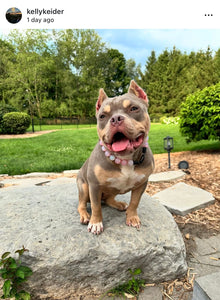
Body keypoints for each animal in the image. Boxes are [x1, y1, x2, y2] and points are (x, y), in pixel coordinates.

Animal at [76, 80, 154, 234]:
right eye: (102, 116)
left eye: (134, 108)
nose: (116, 119)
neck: (125, 158)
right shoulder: (94, 185)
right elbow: (95, 206)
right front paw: (96, 223)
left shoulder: (142, 183)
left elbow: (135, 202)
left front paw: (132, 217)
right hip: (84, 187)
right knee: (82, 204)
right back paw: (85, 215)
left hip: (113, 190)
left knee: (108, 200)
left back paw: (118, 204)